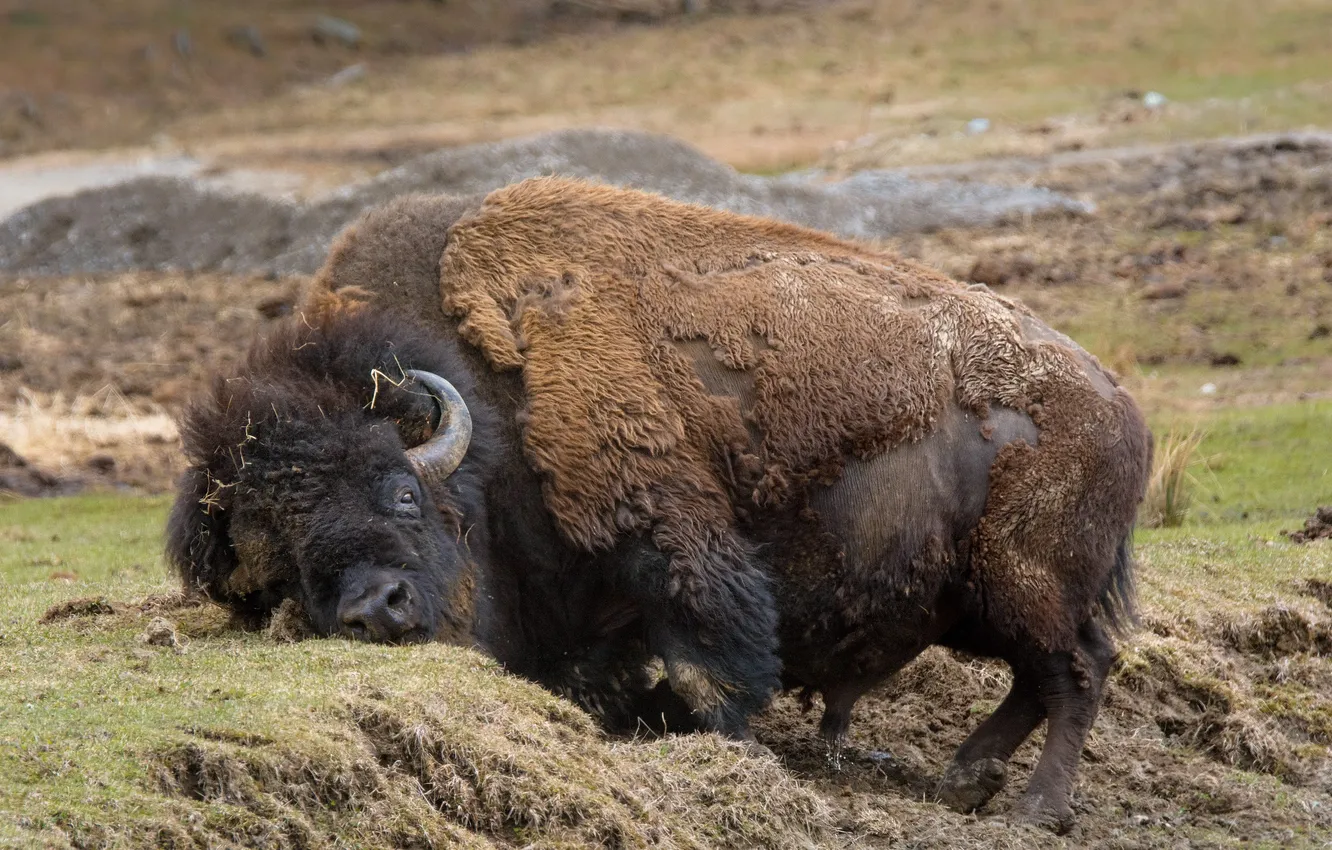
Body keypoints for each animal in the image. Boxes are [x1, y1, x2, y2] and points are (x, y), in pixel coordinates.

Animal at [168, 178, 1152, 830]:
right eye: (279, 563)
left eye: (403, 493)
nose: (377, 608)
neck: (487, 416)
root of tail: (1114, 398)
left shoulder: (669, 538)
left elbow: (707, 663)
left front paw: (729, 754)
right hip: (981, 598)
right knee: (1041, 676)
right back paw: (966, 779)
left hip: (1026, 579)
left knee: (1075, 670)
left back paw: (1031, 809)